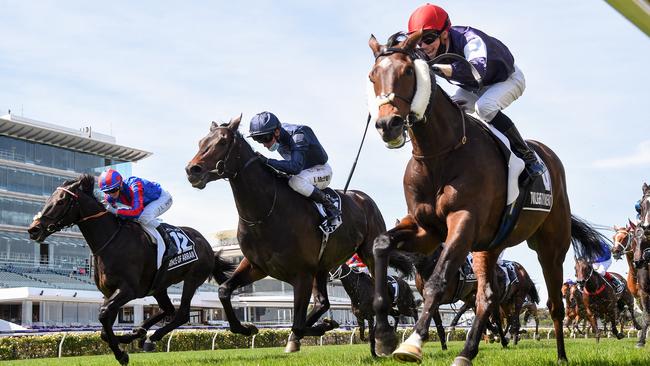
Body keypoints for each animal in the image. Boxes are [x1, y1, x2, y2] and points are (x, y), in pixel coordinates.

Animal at [26, 176, 233, 364]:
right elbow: (104, 328)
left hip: (192, 278)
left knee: (181, 313)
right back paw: (141, 333)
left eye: (61, 201)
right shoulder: (109, 292)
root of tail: (207, 245)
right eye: (49, 199)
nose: (34, 229)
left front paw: (121, 354)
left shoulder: (128, 290)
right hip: (159, 287)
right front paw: (126, 340)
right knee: (168, 309)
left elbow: (103, 314)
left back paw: (150, 337)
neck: (111, 241)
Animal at [182, 116, 404, 352]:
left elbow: (297, 323)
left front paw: (317, 328)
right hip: (323, 266)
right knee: (322, 302)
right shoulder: (256, 266)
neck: (265, 212)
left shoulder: (302, 273)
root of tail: (363, 197)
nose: (192, 170)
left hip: (368, 253)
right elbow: (224, 290)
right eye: (201, 142)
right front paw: (246, 328)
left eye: (222, 142)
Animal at [364, 33, 604, 364]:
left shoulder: (463, 221)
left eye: (408, 72)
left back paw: (561, 355)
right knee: (487, 297)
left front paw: (412, 343)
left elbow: (437, 281)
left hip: (551, 247)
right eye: (373, 76)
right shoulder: (427, 230)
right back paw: (466, 351)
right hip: (489, 246)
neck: (440, 153)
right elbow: (381, 244)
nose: (389, 125)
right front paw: (385, 336)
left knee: (555, 304)